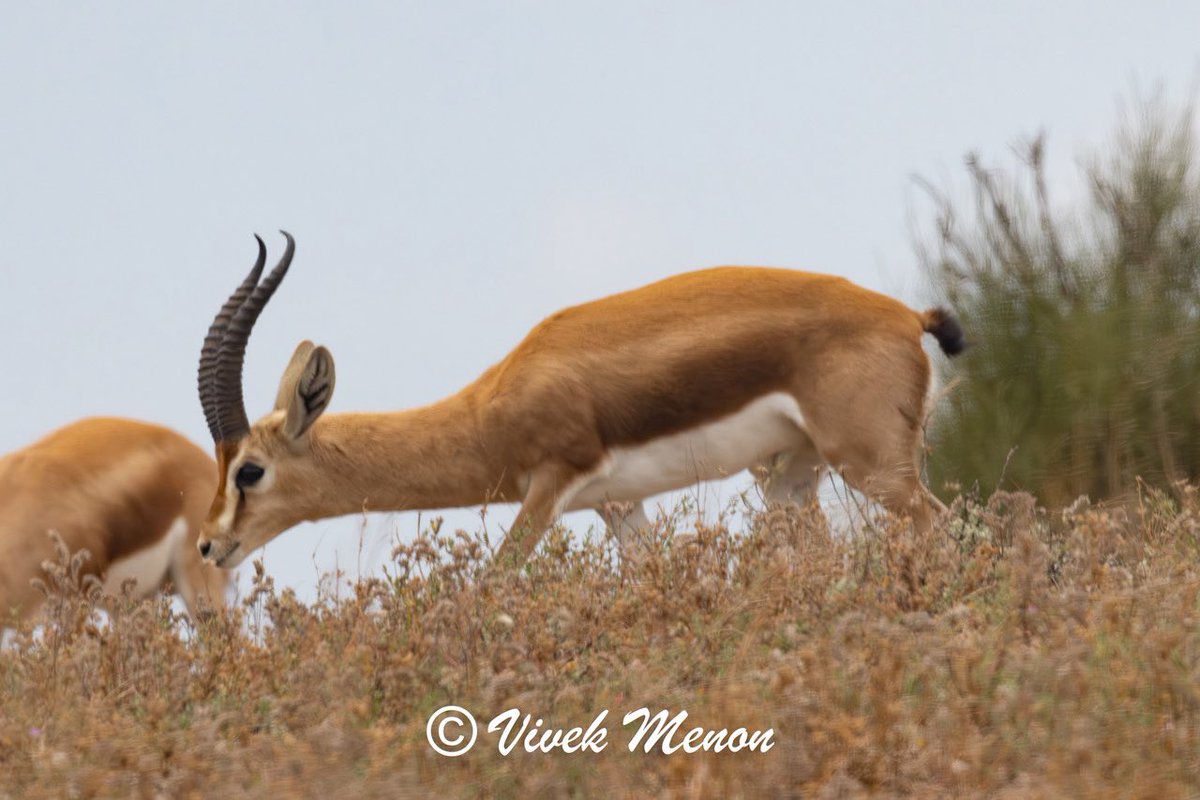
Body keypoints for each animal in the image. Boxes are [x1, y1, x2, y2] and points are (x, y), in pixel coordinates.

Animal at [195, 232, 965, 570]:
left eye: (250, 470)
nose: (208, 545)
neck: (489, 411)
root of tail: (907, 316)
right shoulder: (619, 505)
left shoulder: (551, 487)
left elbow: (499, 578)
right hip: (790, 478)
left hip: (872, 469)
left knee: (948, 526)